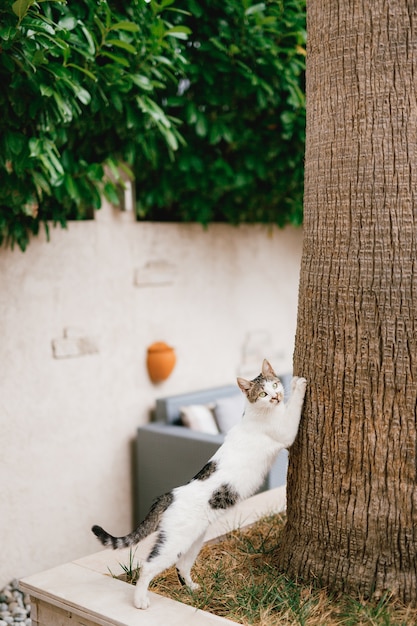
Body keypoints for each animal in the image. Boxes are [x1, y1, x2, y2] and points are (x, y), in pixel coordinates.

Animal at [92, 358, 306, 608]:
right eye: (263, 393)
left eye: (274, 384)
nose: (276, 396)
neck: (258, 411)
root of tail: (170, 494)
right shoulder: (286, 432)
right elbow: (294, 411)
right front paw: (299, 383)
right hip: (174, 542)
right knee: (148, 566)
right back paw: (140, 600)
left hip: (194, 540)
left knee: (181, 565)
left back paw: (192, 589)